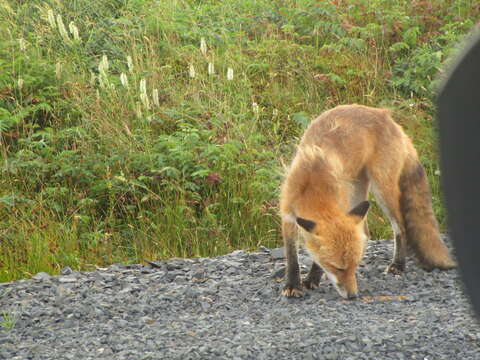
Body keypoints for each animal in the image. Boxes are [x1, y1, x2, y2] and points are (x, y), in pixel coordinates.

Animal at [282, 103, 458, 298]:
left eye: (353, 266)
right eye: (338, 268)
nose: (353, 296)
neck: (314, 185)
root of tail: (385, 115)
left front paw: (313, 277)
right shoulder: (288, 215)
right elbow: (292, 256)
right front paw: (293, 284)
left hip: (381, 189)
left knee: (400, 227)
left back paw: (398, 265)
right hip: (358, 193)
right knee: (365, 232)